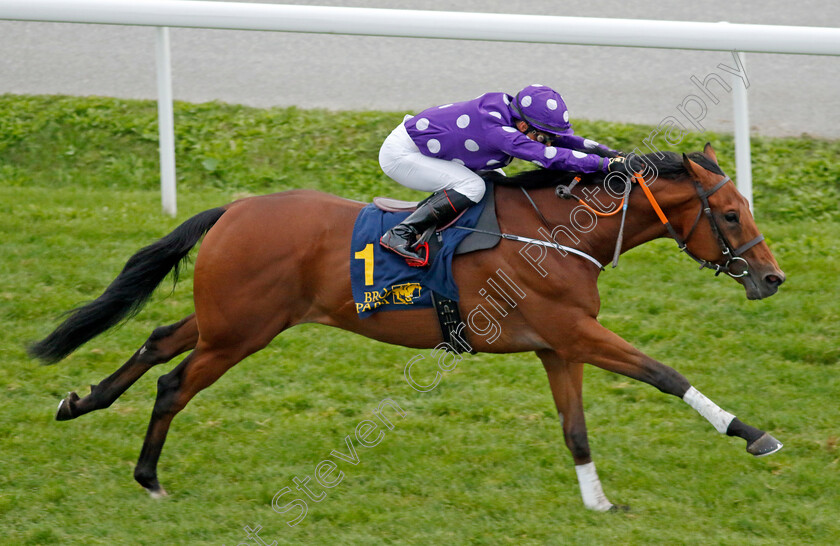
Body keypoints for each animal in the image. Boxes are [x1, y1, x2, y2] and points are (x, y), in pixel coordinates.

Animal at [27, 143, 788, 510]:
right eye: (729, 215)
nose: (772, 278)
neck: (555, 233)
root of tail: (234, 209)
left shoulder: (558, 346)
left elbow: (575, 429)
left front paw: (598, 503)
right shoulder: (574, 334)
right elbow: (665, 374)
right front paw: (754, 433)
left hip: (225, 316)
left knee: (157, 342)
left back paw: (80, 402)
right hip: (241, 332)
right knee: (174, 385)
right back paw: (149, 477)